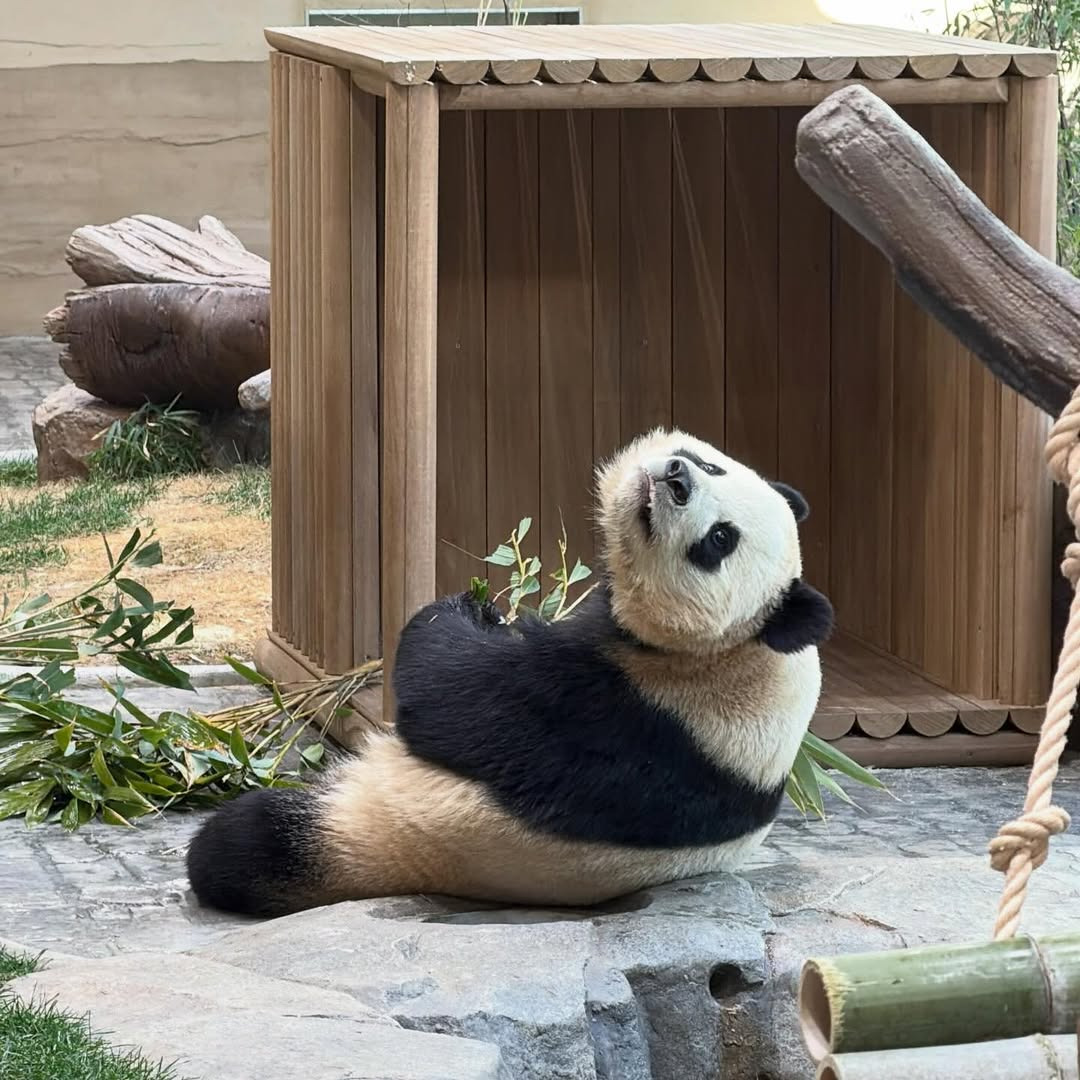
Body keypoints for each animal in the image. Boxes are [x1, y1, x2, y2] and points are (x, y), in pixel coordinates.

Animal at [186, 428, 833, 917]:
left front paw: (465, 609)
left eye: (720, 539)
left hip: (378, 836)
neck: (741, 647)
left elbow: (456, 698)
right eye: (711, 464)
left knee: (258, 844)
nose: (676, 476)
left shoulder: (638, 720)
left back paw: (222, 850)